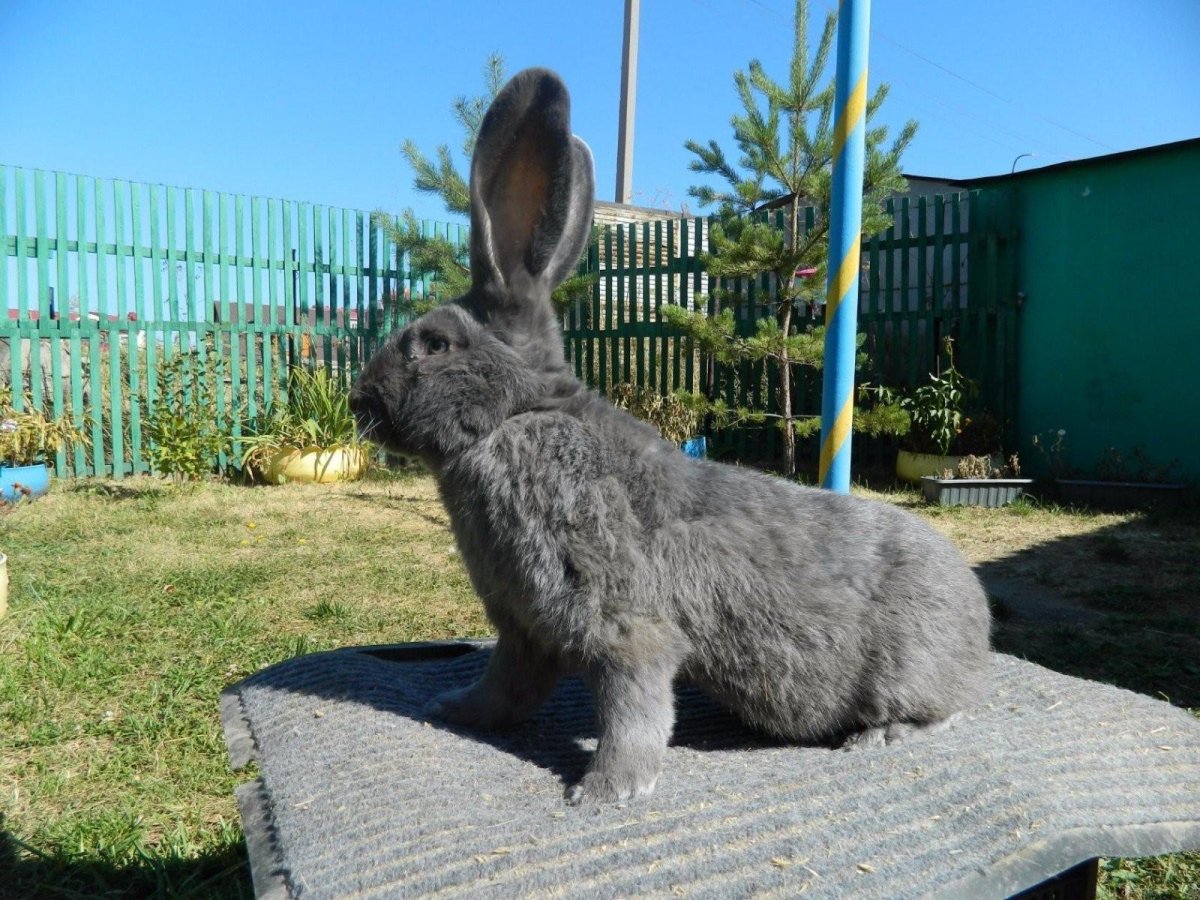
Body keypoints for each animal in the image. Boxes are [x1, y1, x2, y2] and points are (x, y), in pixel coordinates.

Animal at [350, 67, 991, 805]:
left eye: (433, 345)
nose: (357, 400)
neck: (517, 415)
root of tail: (981, 624)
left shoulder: (620, 622)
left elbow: (634, 702)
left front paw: (604, 791)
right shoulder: (526, 631)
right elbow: (505, 691)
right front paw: (453, 710)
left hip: (907, 670)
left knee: (945, 712)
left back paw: (879, 736)